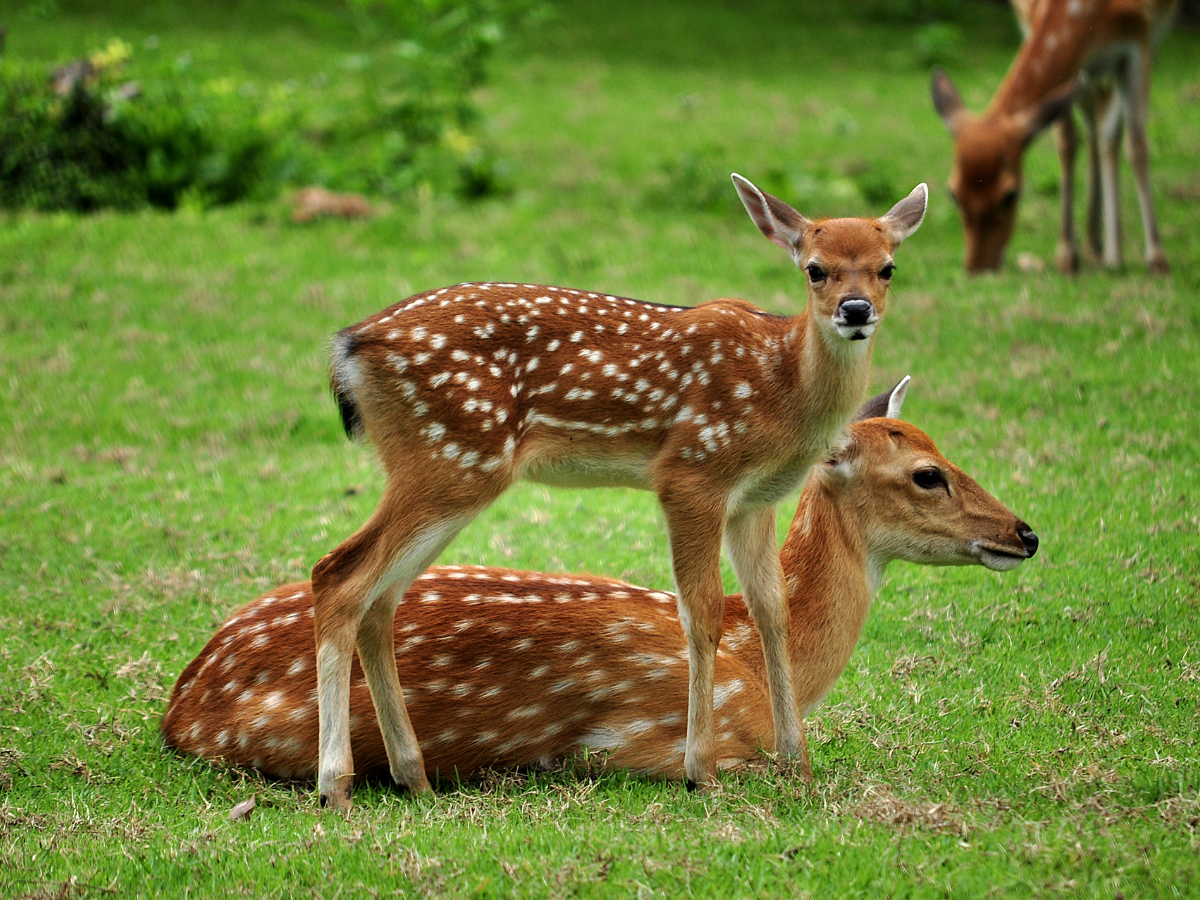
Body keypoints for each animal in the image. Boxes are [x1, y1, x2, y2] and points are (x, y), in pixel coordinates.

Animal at [162, 378, 1039, 785]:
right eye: (927, 475)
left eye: (943, 449)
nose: (1025, 532)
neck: (757, 661)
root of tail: (177, 705)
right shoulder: (655, 742)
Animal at [308, 174, 928, 809]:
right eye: (814, 269)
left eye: (887, 267)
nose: (856, 310)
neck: (782, 387)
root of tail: (349, 348)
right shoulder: (692, 472)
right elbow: (701, 612)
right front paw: (699, 770)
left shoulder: (755, 501)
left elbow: (770, 610)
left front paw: (796, 766)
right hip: (450, 456)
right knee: (338, 574)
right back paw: (335, 785)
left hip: (443, 465)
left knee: (379, 599)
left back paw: (414, 776)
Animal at [932, 0, 1177, 274]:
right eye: (953, 192)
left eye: (1009, 195)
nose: (978, 268)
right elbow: (1066, 142)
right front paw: (1066, 255)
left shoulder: (1140, 40)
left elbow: (1137, 146)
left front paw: (1156, 258)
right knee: (1094, 125)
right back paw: (1093, 246)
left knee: (1107, 131)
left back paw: (1112, 253)